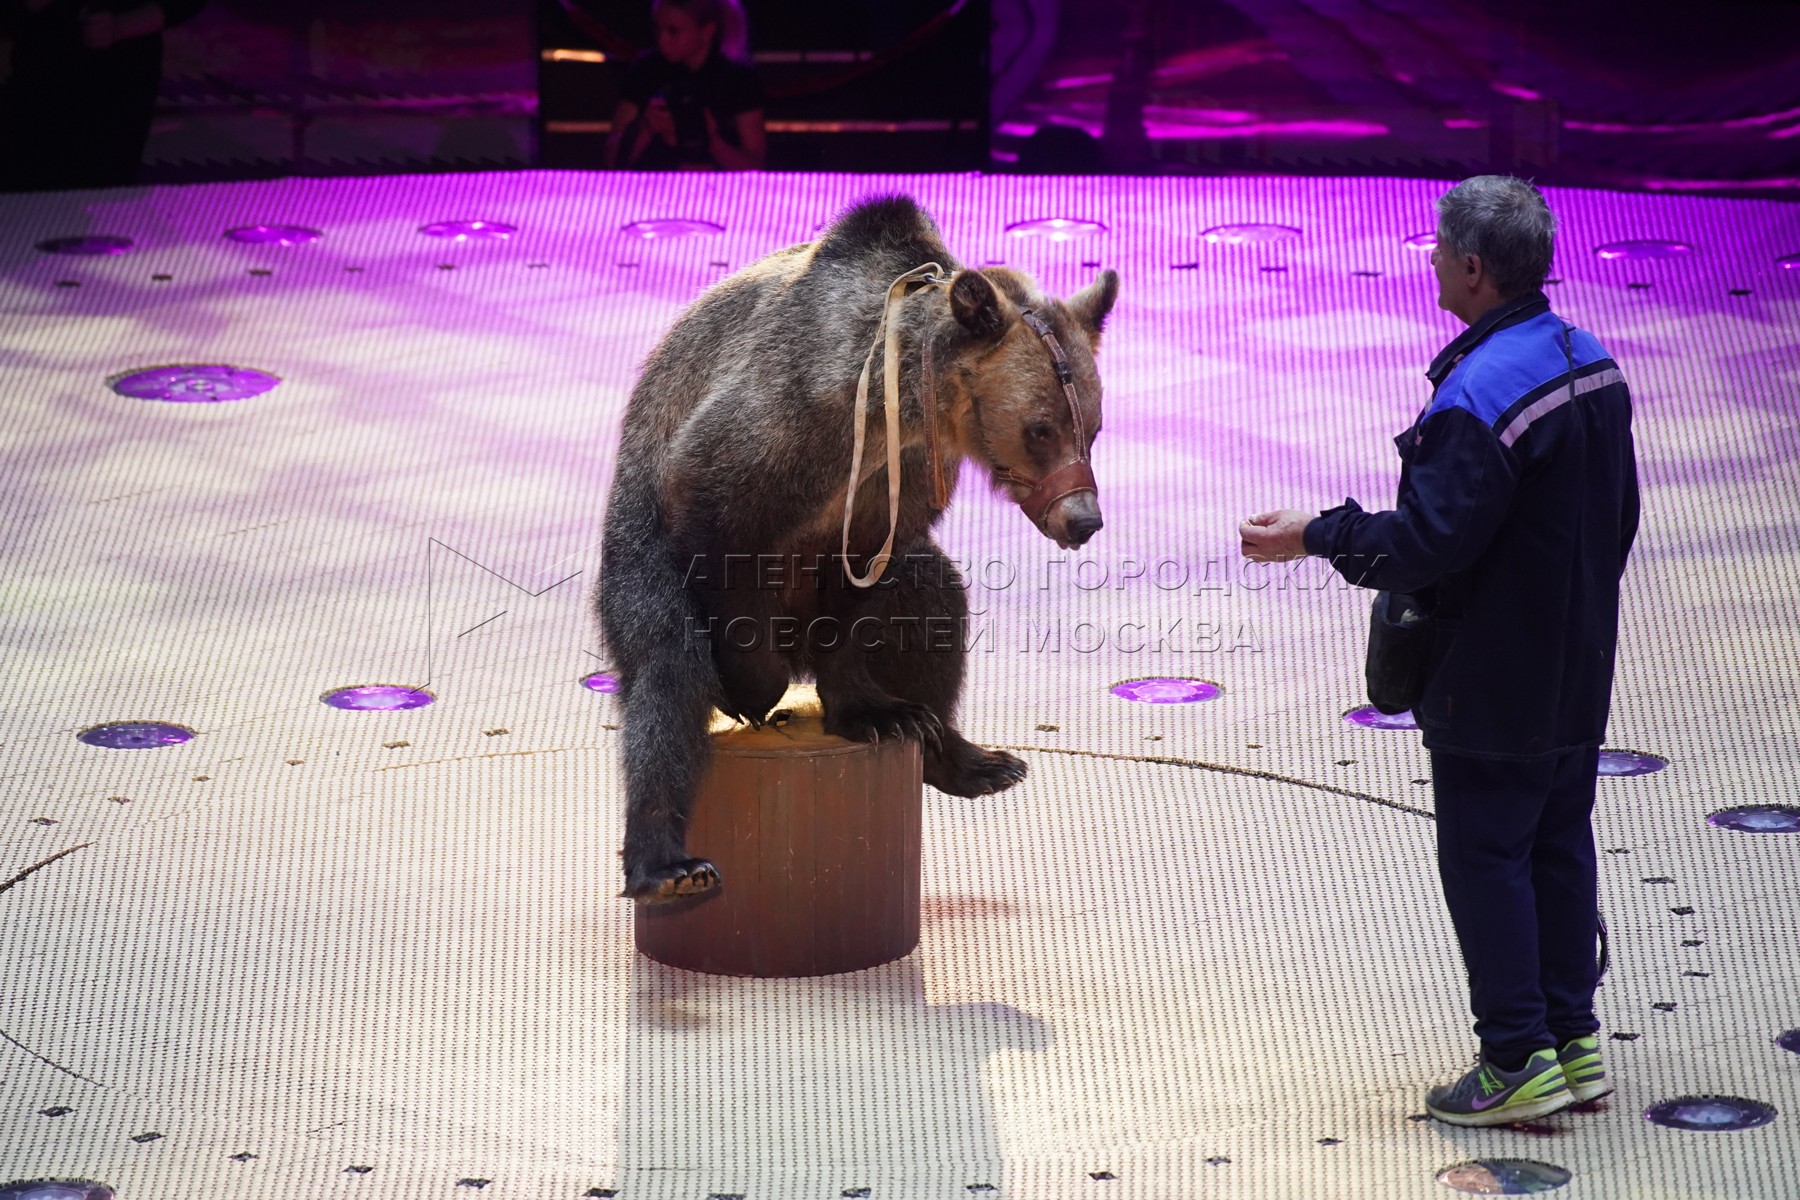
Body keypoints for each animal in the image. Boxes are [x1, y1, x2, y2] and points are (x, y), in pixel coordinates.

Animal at [597, 197, 1116, 906]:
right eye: (1040, 428)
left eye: (1092, 425)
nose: (1083, 518)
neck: (911, 402)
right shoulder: (791, 414)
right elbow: (714, 509)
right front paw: (752, 687)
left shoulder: (896, 482)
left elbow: (867, 588)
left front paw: (874, 713)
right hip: (635, 560)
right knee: (665, 676)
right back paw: (669, 865)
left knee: (936, 602)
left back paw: (967, 757)